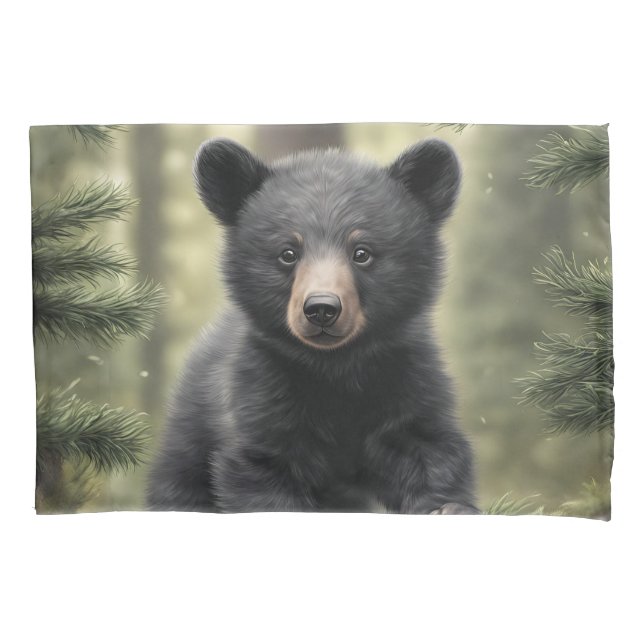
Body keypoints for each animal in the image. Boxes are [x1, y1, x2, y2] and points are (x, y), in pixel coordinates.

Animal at [147, 137, 479, 514]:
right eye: (287, 253)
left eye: (362, 252)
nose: (321, 308)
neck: (335, 368)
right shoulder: (260, 394)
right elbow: (262, 470)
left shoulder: (408, 378)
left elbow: (430, 447)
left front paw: (448, 506)